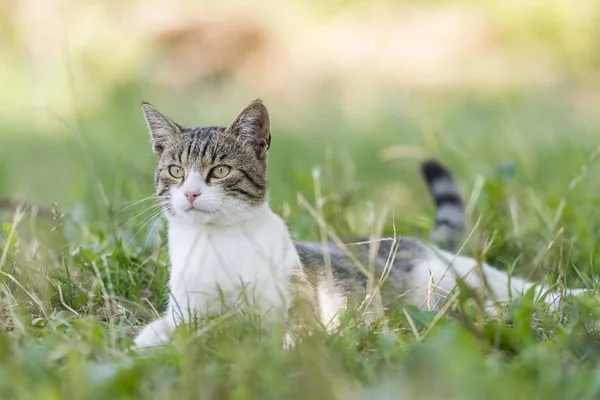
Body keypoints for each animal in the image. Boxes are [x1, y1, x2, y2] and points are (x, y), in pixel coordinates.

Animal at [134, 98, 588, 348]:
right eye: (176, 171)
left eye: (220, 171)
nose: (191, 194)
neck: (217, 244)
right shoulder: (190, 310)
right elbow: (170, 331)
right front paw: (150, 341)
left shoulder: (301, 306)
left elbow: (293, 337)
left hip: (462, 276)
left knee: (525, 290)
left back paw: (579, 296)